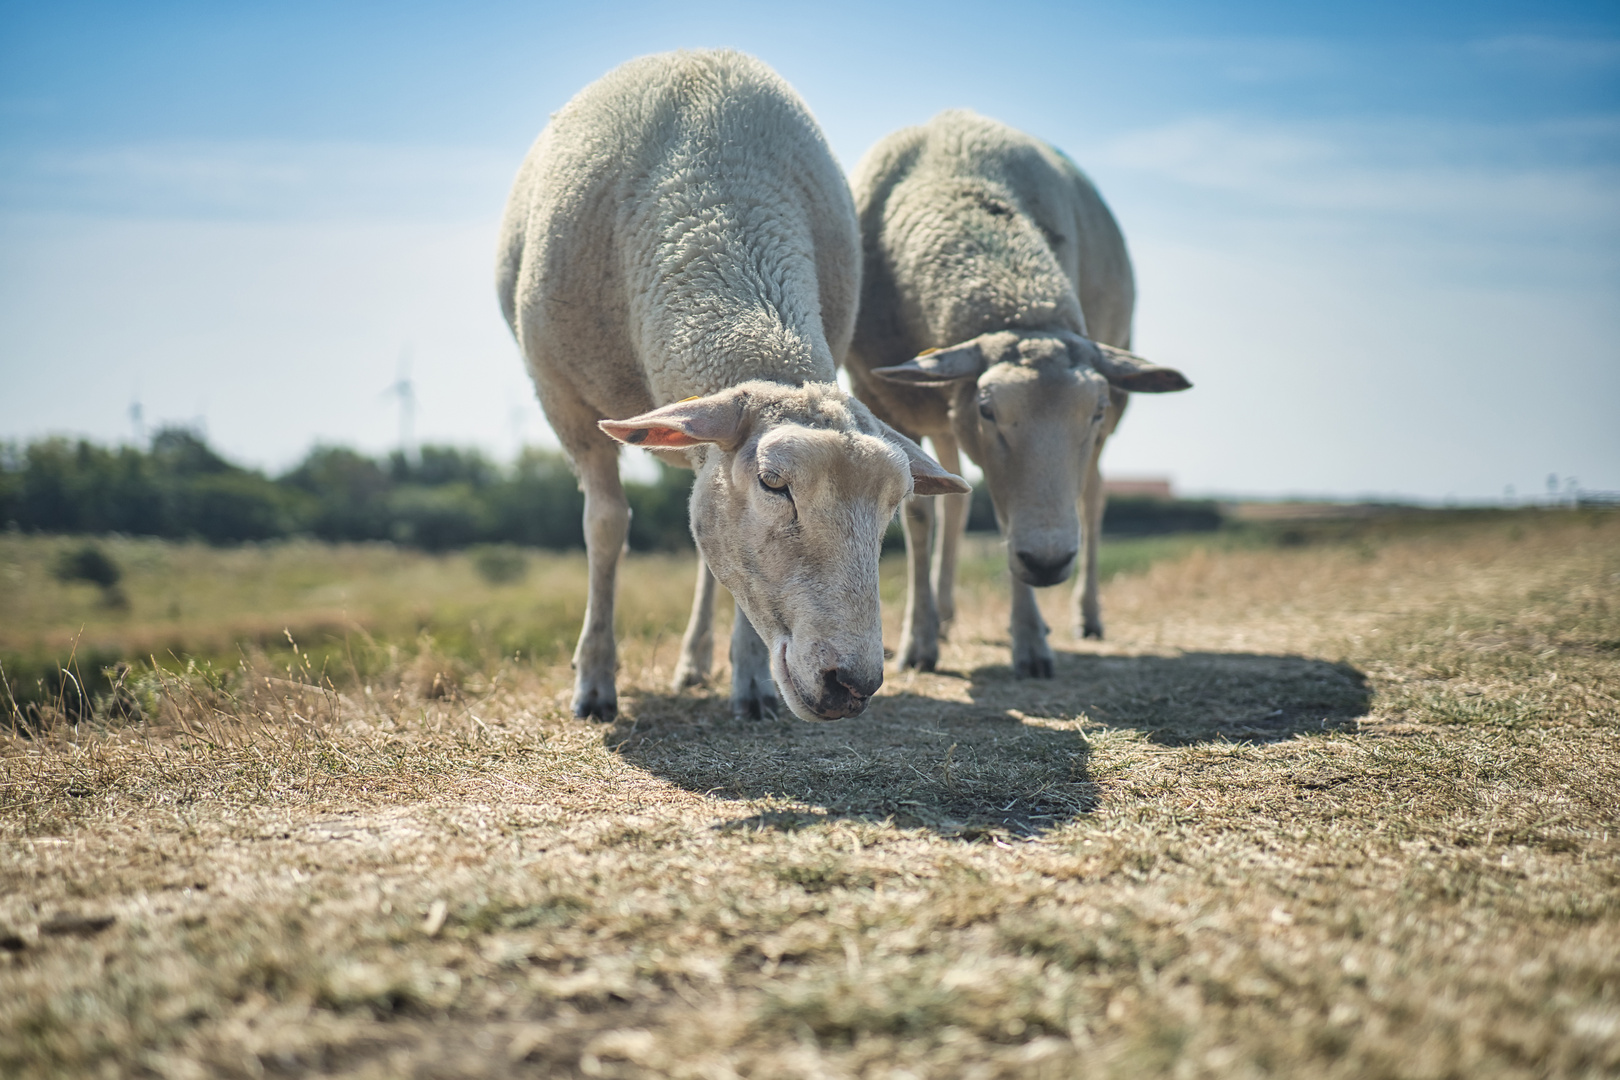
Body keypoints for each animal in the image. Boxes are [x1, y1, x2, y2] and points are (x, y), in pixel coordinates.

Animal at [492, 55, 965, 722]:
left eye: (894, 503)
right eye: (772, 483)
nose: (853, 684)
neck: (712, 204)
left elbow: (730, 561)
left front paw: (752, 682)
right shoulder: (563, 401)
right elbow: (606, 526)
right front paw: (594, 682)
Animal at [848, 114, 1192, 680]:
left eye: (1094, 411)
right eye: (988, 410)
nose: (1048, 563)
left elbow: (1010, 515)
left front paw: (1030, 640)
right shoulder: (884, 399)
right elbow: (921, 515)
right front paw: (919, 642)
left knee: (1092, 496)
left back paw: (1086, 616)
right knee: (955, 499)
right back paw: (944, 616)